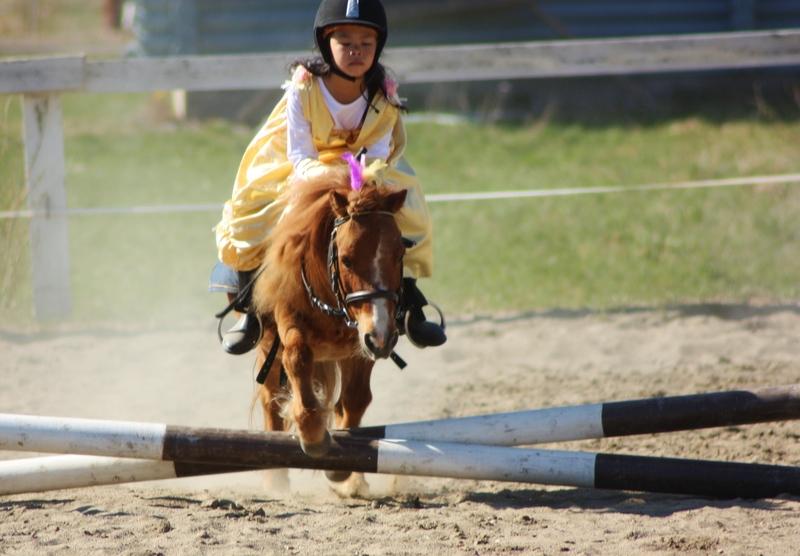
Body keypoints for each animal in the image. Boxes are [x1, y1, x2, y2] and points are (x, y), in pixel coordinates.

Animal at [251, 165, 408, 494]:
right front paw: (311, 432)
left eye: (400, 254)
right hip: (268, 343)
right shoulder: (289, 320)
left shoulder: (361, 343)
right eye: (346, 258)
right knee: (271, 396)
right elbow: (297, 358)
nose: (383, 338)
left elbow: (355, 399)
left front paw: (343, 472)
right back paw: (275, 479)